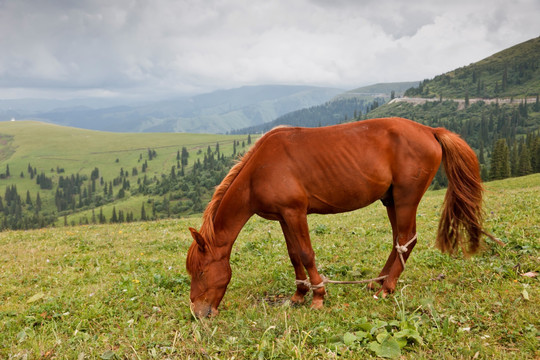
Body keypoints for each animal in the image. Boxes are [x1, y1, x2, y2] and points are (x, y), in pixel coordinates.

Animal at [186, 117, 494, 318]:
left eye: (201, 272)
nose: (199, 314)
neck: (259, 171)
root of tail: (429, 130)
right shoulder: (283, 216)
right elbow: (293, 255)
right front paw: (299, 294)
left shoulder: (295, 213)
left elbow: (306, 254)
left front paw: (318, 296)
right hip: (391, 200)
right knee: (398, 240)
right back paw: (378, 281)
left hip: (406, 198)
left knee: (407, 239)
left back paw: (388, 287)